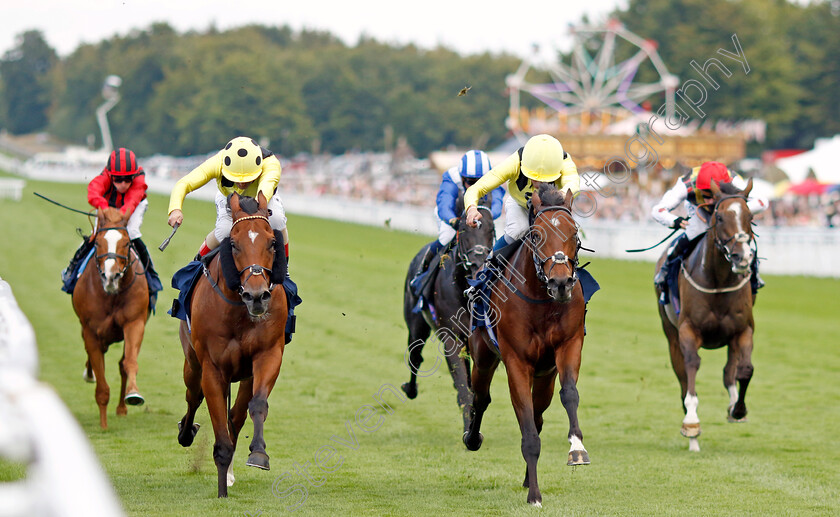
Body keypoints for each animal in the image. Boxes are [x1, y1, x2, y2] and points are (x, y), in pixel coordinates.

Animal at [73, 206, 150, 428]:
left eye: (126, 243)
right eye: (98, 242)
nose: (111, 276)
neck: (111, 295)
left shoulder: (135, 322)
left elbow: (129, 363)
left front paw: (133, 394)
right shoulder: (90, 331)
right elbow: (101, 385)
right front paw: (103, 425)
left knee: (122, 363)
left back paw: (122, 407)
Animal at [175, 191, 288, 498]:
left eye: (272, 243)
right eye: (234, 244)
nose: (257, 296)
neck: (239, 309)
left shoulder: (267, 354)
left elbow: (257, 405)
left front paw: (259, 454)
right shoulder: (213, 369)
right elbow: (219, 432)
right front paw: (221, 492)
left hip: (244, 375)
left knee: (235, 417)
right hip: (192, 363)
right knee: (193, 396)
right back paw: (186, 432)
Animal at [398, 198, 492, 432]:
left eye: (492, 230)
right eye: (464, 229)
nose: (479, 266)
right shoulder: (452, 337)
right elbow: (463, 386)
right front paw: (469, 428)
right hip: (416, 324)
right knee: (415, 356)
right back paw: (410, 389)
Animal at [460, 183, 592, 506]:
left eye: (574, 232)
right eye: (536, 235)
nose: (561, 283)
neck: (542, 300)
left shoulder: (569, 346)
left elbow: (570, 394)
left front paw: (577, 449)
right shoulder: (516, 362)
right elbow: (528, 431)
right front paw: (534, 495)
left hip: (544, 375)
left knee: (539, 413)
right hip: (483, 357)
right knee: (481, 398)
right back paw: (472, 438)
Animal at [652, 178, 756, 452]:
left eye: (750, 216)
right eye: (719, 217)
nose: (742, 257)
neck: (718, 281)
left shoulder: (743, 330)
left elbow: (744, 370)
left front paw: (738, 409)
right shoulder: (688, 330)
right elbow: (691, 367)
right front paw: (691, 424)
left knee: (730, 369)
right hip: (670, 333)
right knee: (681, 377)